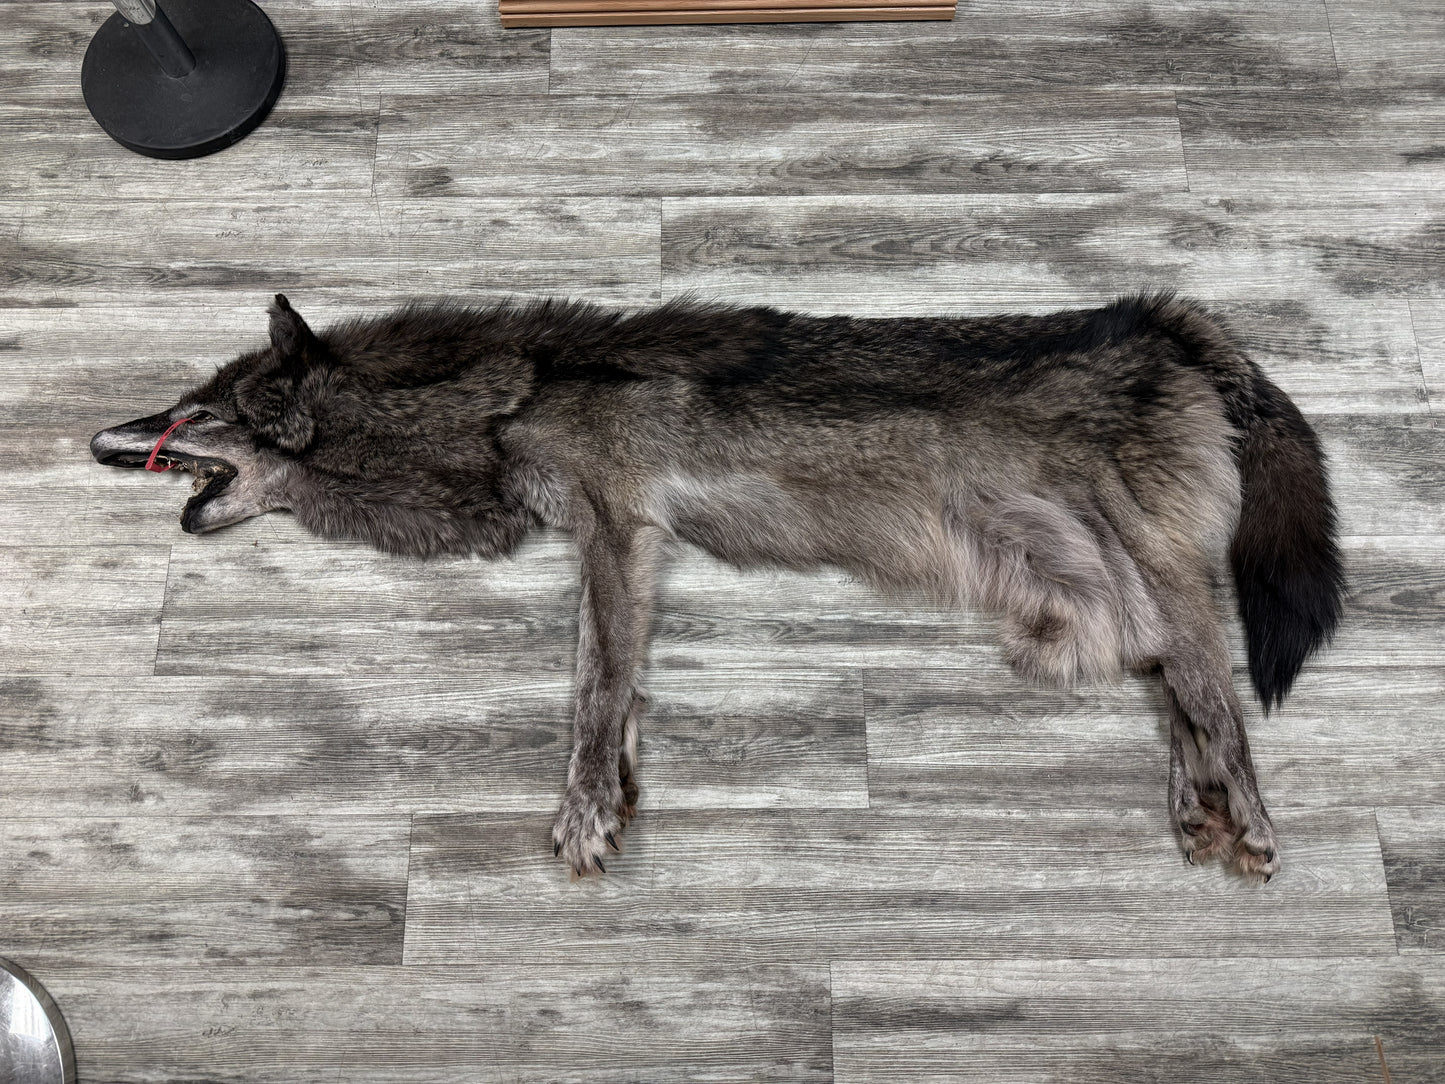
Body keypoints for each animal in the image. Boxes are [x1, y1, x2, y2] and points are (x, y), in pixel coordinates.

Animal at [91, 292, 1343, 880]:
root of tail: (1161, 317)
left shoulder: (617, 522)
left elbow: (594, 687)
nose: (102, 436)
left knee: (1216, 696)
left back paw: (1244, 820)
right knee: (1173, 686)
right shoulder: (621, 542)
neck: (504, 399)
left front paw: (586, 810)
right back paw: (1192, 809)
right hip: (1093, 586)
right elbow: (613, 677)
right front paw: (620, 789)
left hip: (1146, 575)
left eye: (191, 412)